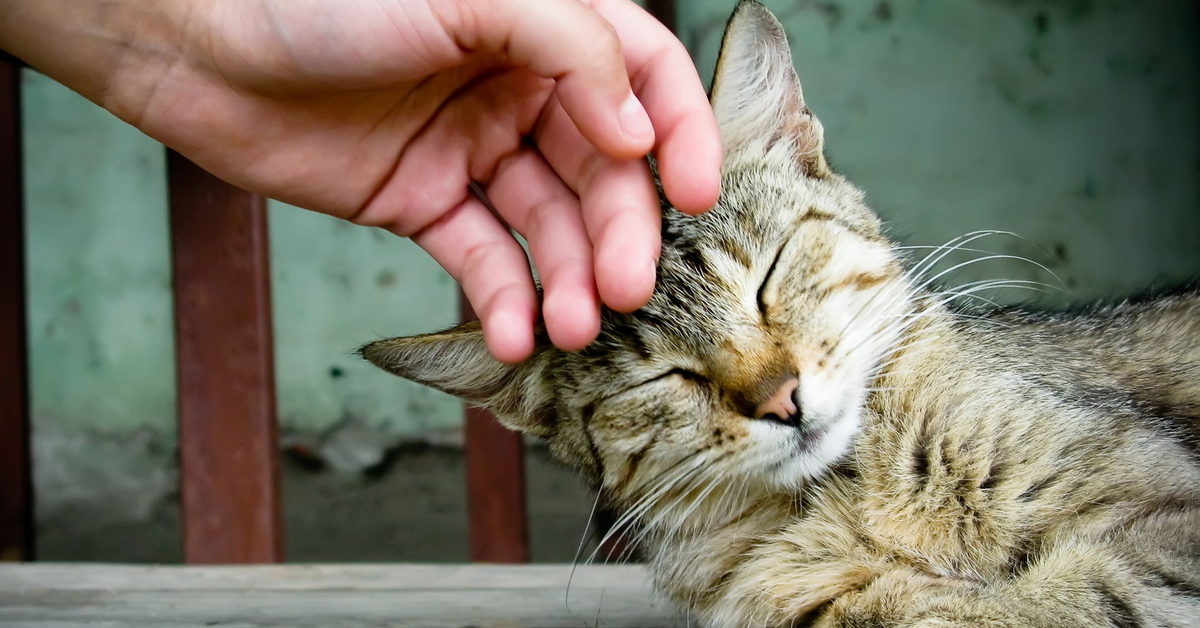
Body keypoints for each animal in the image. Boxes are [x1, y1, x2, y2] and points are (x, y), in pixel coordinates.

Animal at [362, 2, 1200, 624]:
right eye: (663, 377)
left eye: (765, 281)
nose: (781, 400)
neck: (845, 495)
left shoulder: (1168, 519)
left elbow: (1066, 599)